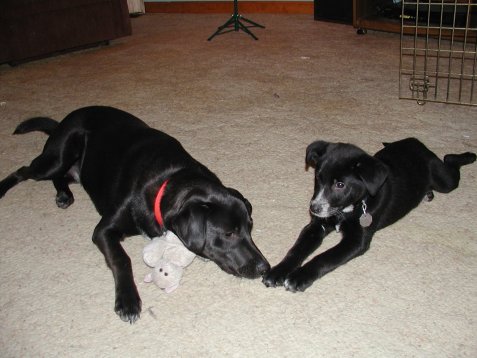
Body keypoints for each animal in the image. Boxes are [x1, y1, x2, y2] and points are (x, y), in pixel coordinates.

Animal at [0, 105, 268, 322]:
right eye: (229, 233)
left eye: (250, 228)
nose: (264, 268)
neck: (170, 180)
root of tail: (65, 119)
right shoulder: (103, 230)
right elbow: (122, 259)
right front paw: (128, 301)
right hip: (57, 156)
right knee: (24, 171)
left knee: (60, 177)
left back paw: (64, 195)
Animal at [262, 138, 474, 292]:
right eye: (318, 178)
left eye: (340, 185)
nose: (314, 208)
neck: (349, 209)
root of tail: (415, 142)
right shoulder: (316, 226)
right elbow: (297, 249)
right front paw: (278, 271)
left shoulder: (356, 241)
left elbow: (324, 257)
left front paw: (299, 277)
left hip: (445, 180)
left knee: (449, 160)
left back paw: (468, 156)